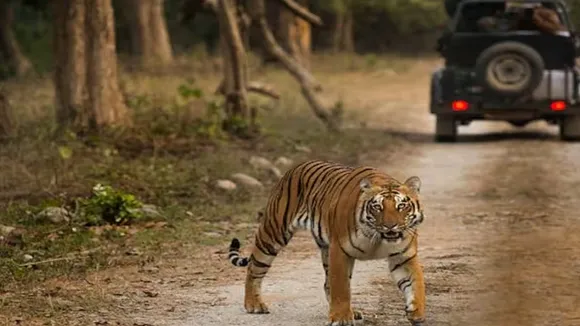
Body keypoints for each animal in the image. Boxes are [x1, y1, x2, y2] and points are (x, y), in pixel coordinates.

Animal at [228, 159, 426, 324]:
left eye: (402, 206)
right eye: (377, 207)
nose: (390, 226)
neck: (377, 238)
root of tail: (295, 167)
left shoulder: (403, 256)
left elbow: (416, 282)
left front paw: (416, 312)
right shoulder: (340, 250)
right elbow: (341, 287)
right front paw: (341, 318)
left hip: (324, 247)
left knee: (326, 283)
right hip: (273, 233)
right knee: (254, 267)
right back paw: (254, 304)